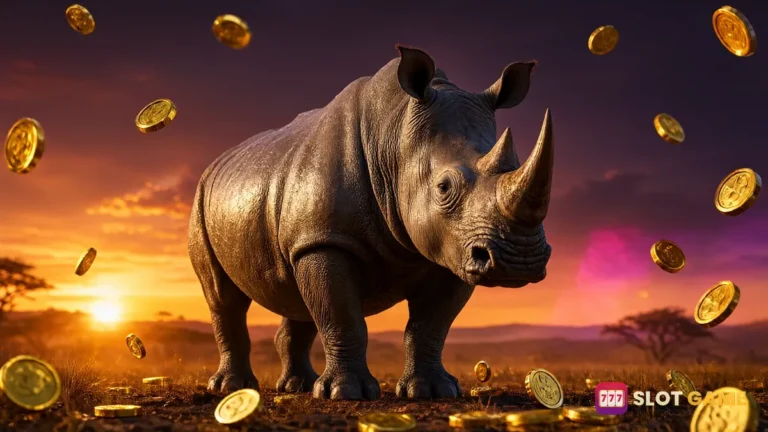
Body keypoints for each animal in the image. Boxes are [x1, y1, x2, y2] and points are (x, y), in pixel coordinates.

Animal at [188, 45, 554, 400]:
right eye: (444, 187)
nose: (519, 260)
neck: (395, 138)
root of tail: (218, 162)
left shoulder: (454, 248)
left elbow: (430, 327)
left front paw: (434, 391)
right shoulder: (326, 239)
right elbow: (342, 317)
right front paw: (347, 393)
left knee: (297, 293)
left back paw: (297, 386)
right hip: (202, 200)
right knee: (224, 298)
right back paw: (233, 388)